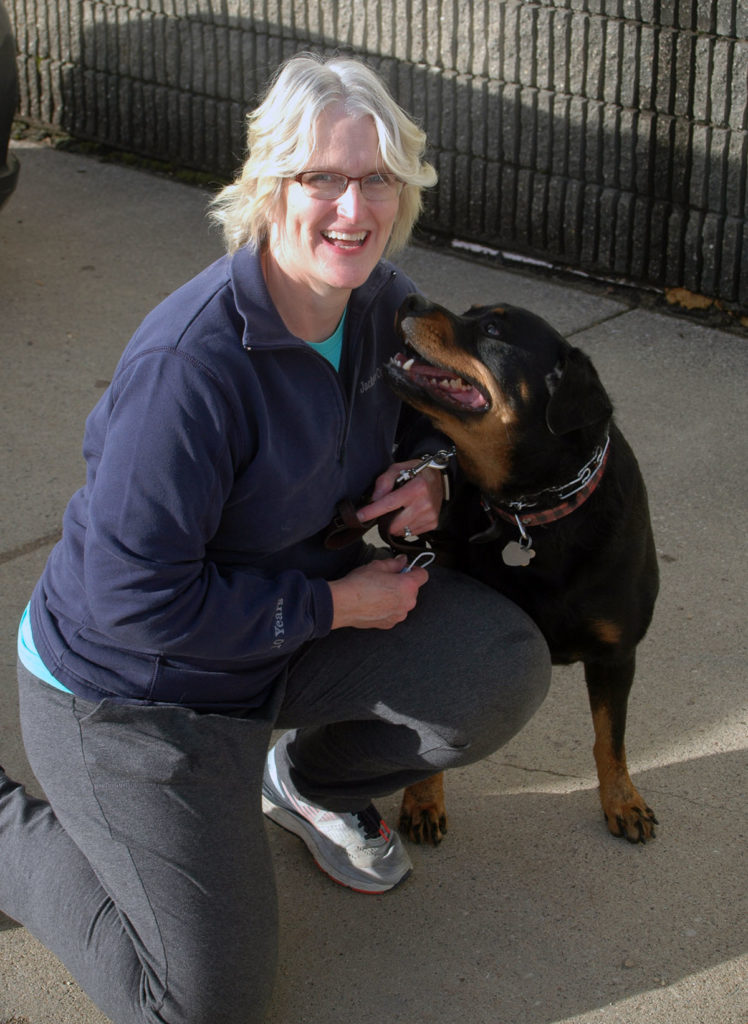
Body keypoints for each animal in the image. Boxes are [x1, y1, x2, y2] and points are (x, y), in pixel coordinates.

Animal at [387, 292, 655, 843]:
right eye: (472, 311)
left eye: (492, 329)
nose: (410, 297)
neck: (535, 509)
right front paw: (423, 799)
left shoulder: (617, 652)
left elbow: (611, 737)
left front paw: (622, 799)